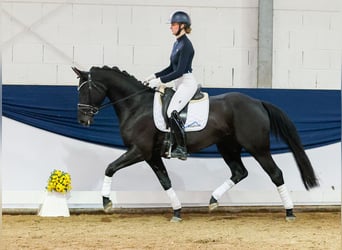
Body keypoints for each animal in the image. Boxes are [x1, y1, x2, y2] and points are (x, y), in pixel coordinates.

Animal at [72, 66, 318, 221]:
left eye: (86, 89)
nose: (83, 120)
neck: (136, 105)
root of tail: (257, 102)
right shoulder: (152, 155)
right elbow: (165, 181)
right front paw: (177, 211)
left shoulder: (139, 151)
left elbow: (110, 168)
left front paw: (106, 202)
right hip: (227, 147)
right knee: (239, 172)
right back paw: (213, 200)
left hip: (257, 147)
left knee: (275, 174)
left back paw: (289, 212)